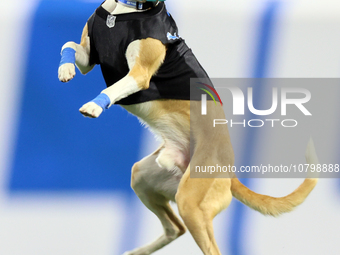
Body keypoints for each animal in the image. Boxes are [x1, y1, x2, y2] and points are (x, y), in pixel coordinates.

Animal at [57, 0, 318, 254]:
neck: (127, 11)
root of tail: (230, 174)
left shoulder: (139, 75)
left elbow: (112, 89)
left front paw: (94, 106)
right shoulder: (89, 58)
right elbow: (68, 45)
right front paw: (65, 69)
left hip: (190, 203)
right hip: (143, 177)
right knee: (175, 229)